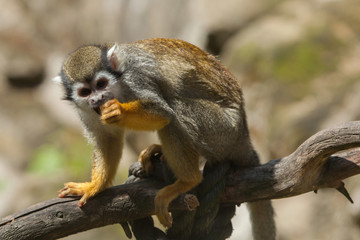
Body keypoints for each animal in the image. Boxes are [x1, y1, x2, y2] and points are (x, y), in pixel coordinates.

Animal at [54, 38, 276, 239]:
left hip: (224, 130)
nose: (97, 98)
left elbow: (162, 112)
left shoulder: (134, 78)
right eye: (85, 92)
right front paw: (94, 186)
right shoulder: (87, 110)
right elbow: (107, 138)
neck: (118, 87)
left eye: (101, 84)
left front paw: (120, 111)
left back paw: (188, 180)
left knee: (174, 113)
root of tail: (244, 135)